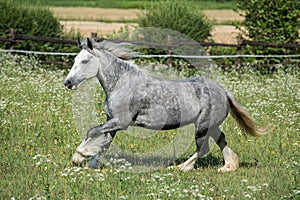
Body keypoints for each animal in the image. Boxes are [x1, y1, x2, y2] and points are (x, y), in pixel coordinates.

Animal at [63, 38, 268, 172]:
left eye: (85, 60)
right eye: (74, 60)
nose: (68, 82)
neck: (121, 83)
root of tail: (223, 91)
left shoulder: (120, 122)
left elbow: (92, 131)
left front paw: (78, 156)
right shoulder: (112, 122)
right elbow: (104, 143)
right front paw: (91, 162)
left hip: (202, 126)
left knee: (202, 148)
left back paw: (182, 167)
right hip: (211, 125)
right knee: (221, 140)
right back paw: (228, 167)